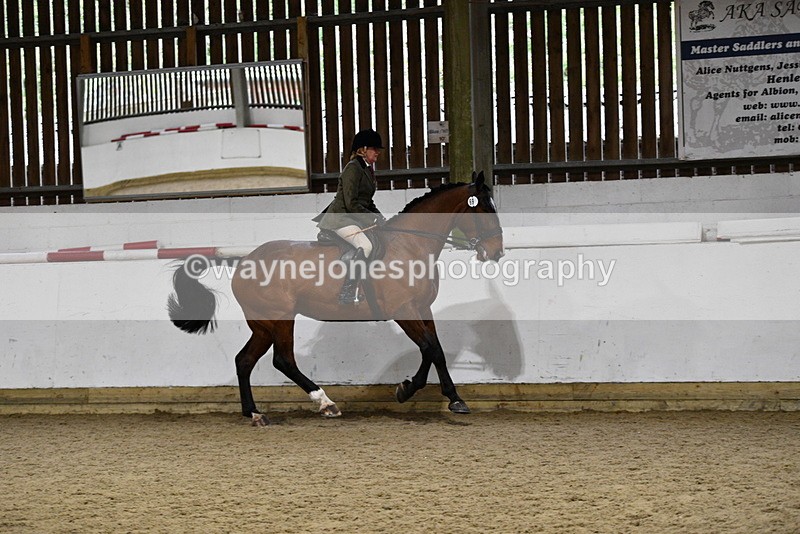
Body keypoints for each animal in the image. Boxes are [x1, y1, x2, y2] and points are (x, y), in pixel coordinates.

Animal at [167, 171, 504, 426]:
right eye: (484, 209)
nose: (497, 252)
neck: (410, 245)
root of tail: (244, 261)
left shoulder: (422, 309)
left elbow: (436, 351)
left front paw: (448, 397)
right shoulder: (403, 310)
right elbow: (429, 348)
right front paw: (409, 390)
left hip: (263, 324)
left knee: (244, 360)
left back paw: (254, 413)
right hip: (280, 319)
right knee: (283, 360)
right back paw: (325, 403)